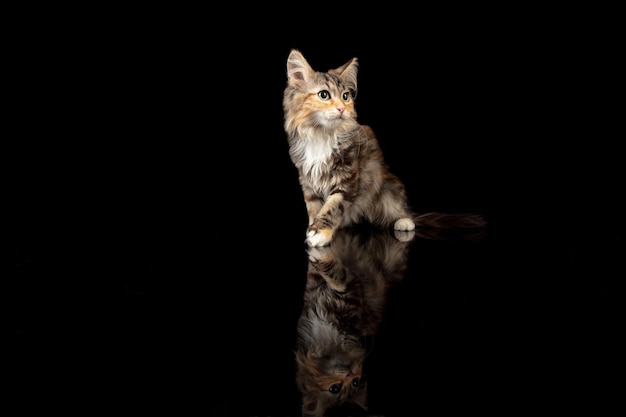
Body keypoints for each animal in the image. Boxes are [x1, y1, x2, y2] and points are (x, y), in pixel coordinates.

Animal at [282, 48, 482, 247]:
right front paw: (313, 227)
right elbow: (315, 208)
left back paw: (404, 221)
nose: (341, 109)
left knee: (400, 210)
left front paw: (320, 232)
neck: (322, 134)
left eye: (345, 97)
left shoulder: (347, 180)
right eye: (324, 95)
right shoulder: (307, 181)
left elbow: (332, 207)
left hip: (388, 189)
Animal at [294, 224, 412, 416]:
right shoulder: (312, 294)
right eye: (335, 388)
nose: (351, 373)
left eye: (356, 382)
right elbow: (319, 272)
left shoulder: (351, 293)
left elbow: (339, 276)